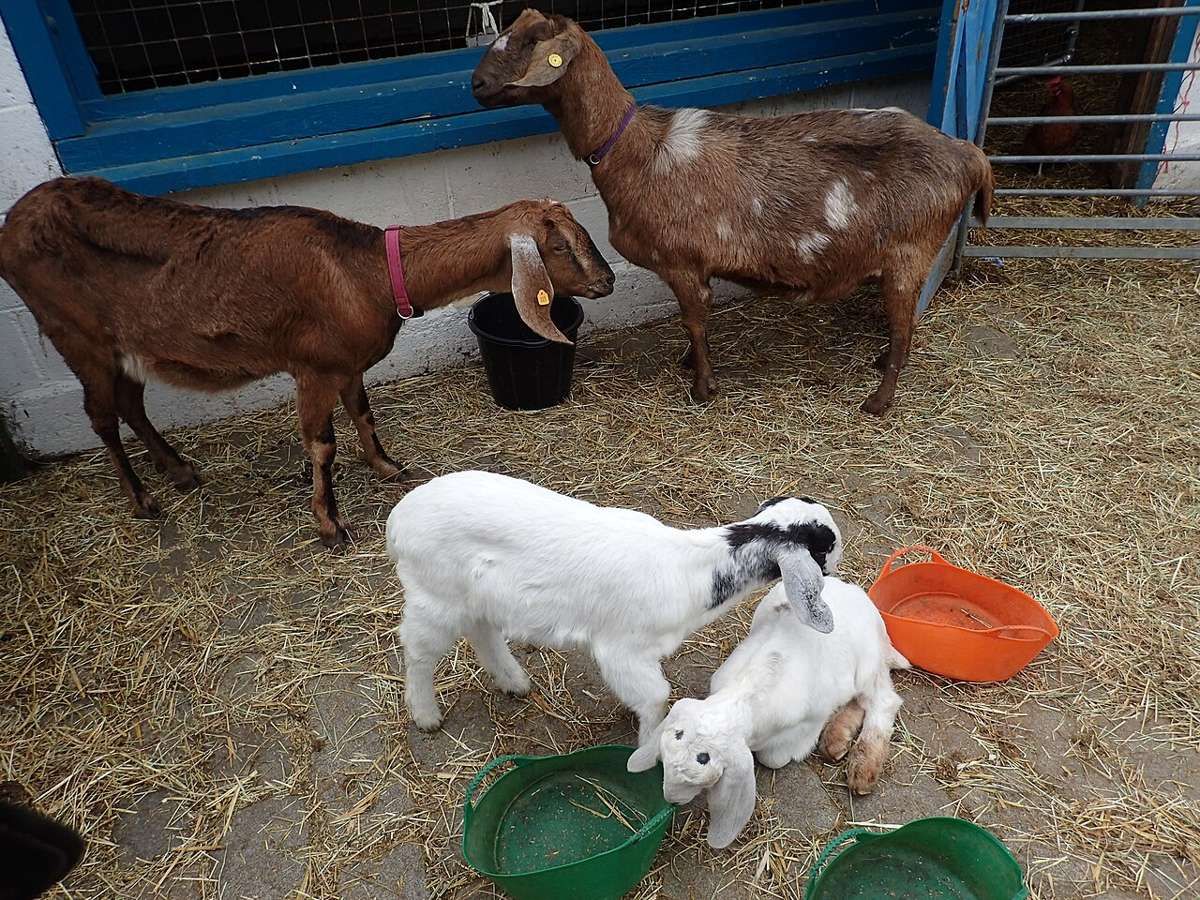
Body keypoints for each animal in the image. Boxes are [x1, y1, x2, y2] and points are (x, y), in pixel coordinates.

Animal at [0, 177, 614, 548]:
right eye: (562, 246)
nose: (608, 279)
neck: (367, 272)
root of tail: (13, 222)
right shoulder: (313, 368)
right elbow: (321, 444)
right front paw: (330, 523)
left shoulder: (348, 365)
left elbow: (363, 413)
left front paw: (387, 467)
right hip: (78, 337)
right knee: (101, 415)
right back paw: (142, 498)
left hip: (124, 346)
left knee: (129, 402)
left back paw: (178, 471)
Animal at [387, 471, 843, 742]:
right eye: (826, 545)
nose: (838, 565)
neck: (693, 567)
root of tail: (398, 519)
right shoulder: (622, 649)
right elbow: (657, 696)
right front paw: (650, 744)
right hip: (435, 594)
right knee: (418, 651)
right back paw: (425, 714)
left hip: (476, 596)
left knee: (481, 631)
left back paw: (514, 682)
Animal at [470, 10, 995, 415]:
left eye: (530, 42)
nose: (475, 84)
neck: (635, 149)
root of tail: (967, 152)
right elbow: (693, 325)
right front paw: (688, 364)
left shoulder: (683, 264)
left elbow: (695, 321)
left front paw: (701, 388)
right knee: (904, 327)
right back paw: (880, 364)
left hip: (910, 254)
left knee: (905, 329)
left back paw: (878, 401)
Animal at [627, 577, 909, 849]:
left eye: (703, 766)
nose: (671, 799)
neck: (745, 696)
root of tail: (861, 598)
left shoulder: (804, 729)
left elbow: (773, 758)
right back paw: (836, 741)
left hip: (867, 669)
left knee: (884, 701)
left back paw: (862, 768)